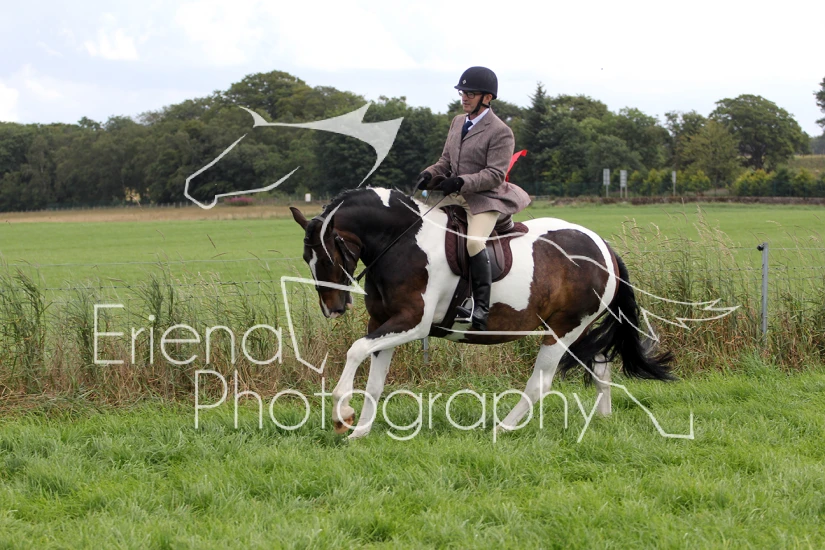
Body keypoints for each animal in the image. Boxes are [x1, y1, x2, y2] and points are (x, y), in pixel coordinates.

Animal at [290, 187, 673, 438]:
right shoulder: (382, 322)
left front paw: (343, 415)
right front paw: (360, 431)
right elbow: (374, 381)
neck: (402, 241)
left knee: (542, 382)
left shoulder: (412, 323)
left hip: (562, 330)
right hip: (577, 330)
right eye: (306, 258)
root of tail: (602, 245)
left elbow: (355, 350)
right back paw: (601, 421)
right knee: (601, 367)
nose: (332, 309)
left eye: (328, 254)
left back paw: (503, 428)